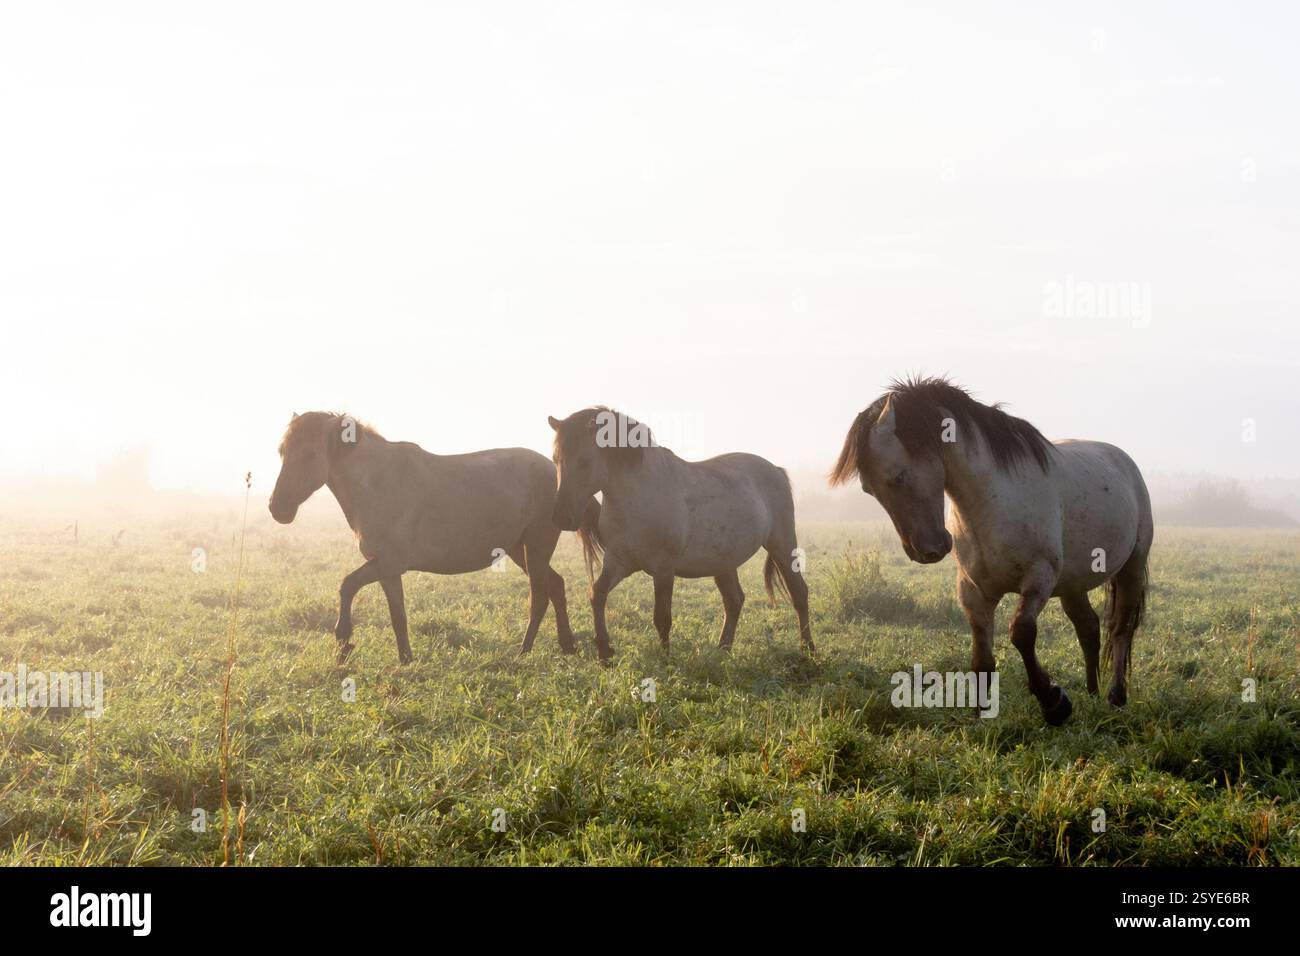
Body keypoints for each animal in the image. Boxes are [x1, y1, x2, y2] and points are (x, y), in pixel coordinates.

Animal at [268, 411, 599, 663]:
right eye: (283, 453)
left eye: (308, 454)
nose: (277, 508)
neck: (377, 483)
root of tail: (555, 472)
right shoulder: (385, 567)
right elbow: (375, 602)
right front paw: (368, 649)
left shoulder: (388, 565)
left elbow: (369, 598)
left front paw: (361, 647)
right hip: (521, 549)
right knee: (556, 585)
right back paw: (567, 645)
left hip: (537, 545)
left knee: (539, 596)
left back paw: (524, 650)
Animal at [547, 407, 813, 660]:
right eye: (556, 459)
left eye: (584, 461)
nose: (561, 516)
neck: (638, 495)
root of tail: (775, 470)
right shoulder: (618, 562)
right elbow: (597, 594)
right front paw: (604, 652)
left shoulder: (664, 569)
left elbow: (662, 617)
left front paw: (666, 659)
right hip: (723, 562)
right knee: (734, 601)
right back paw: (722, 651)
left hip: (782, 546)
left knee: (799, 593)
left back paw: (808, 649)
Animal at [830, 377, 1152, 725]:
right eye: (869, 490)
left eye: (898, 477)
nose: (926, 550)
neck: (992, 500)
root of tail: (1124, 461)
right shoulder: (974, 590)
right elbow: (981, 659)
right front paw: (980, 714)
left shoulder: (1039, 578)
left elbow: (1021, 633)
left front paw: (1054, 704)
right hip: (1072, 585)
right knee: (1089, 629)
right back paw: (1092, 694)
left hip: (1131, 568)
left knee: (1120, 630)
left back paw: (1115, 697)